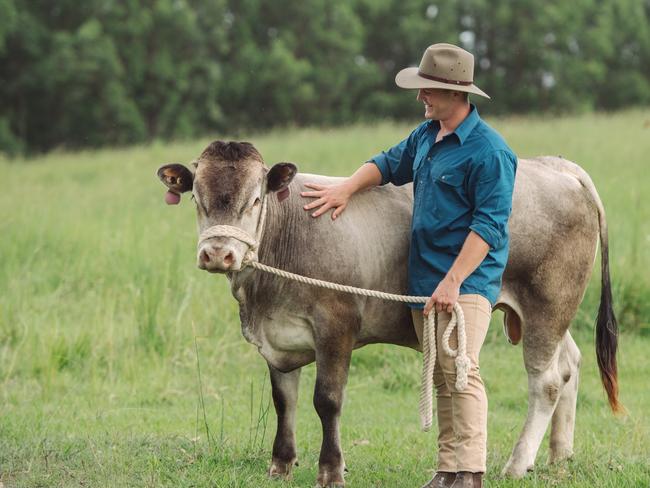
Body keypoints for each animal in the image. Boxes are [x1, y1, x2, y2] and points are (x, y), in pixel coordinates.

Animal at [157, 140, 616, 484]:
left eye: (254, 200)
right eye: (197, 199)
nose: (218, 254)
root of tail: (555, 164)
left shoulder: (336, 326)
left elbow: (327, 400)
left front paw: (331, 470)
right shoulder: (279, 338)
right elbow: (283, 401)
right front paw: (281, 464)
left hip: (546, 305)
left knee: (547, 381)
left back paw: (518, 464)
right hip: (552, 315)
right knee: (570, 365)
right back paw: (558, 456)